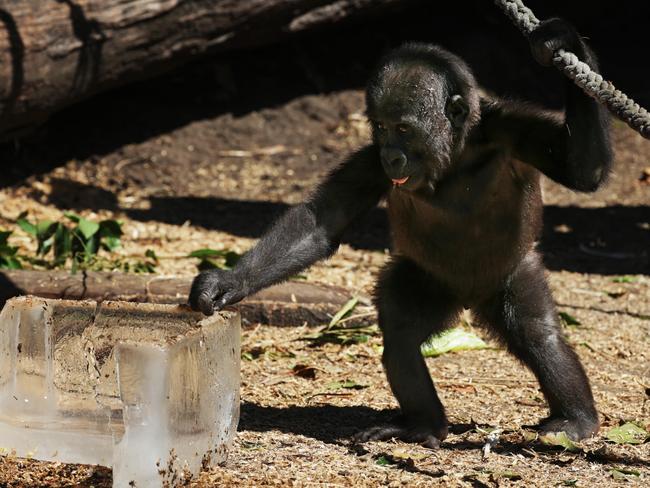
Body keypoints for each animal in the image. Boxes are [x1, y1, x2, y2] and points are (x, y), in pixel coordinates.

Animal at [190, 18, 612, 446]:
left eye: (405, 129)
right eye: (381, 127)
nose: (392, 155)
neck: (454, 153)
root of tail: (468, 301)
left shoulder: (512, 127)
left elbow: (581, 170)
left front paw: (564, 40)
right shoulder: (369, 161)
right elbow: (319, 223)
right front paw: (230, 281)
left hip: (511, 273)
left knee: (538, 333)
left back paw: (575, 418)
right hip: (428, 281)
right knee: (401, 336)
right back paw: (424, 424)